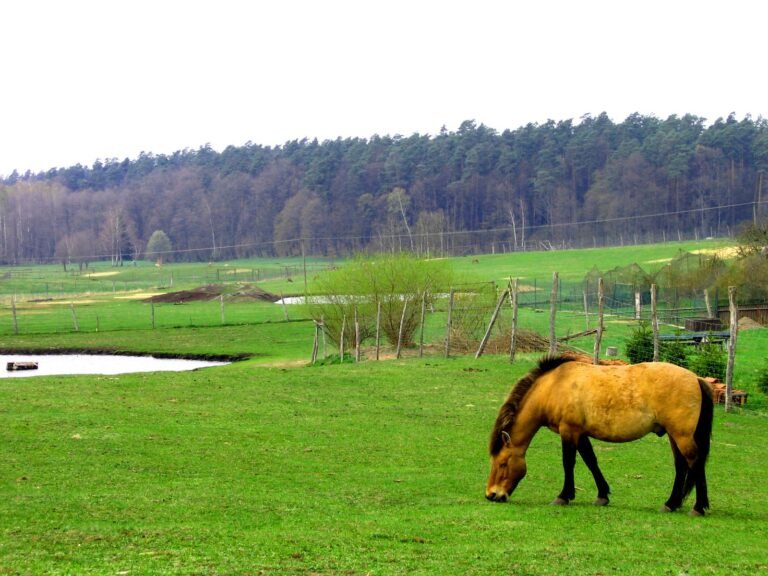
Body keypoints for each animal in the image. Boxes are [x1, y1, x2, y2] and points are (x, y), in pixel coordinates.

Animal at [486, 355, 713, 516]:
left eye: (503, 463)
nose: (491, 495)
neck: (555, 386)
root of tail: (696, 378)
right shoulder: (580, 433)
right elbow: (591, 461)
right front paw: (602, 495)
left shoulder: (568, 431)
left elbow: (568, 463)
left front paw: (563, 496)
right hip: (674, 436)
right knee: (681, 466)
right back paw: (671, 504)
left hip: (682, 435)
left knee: (695, 462)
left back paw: (698, 507)